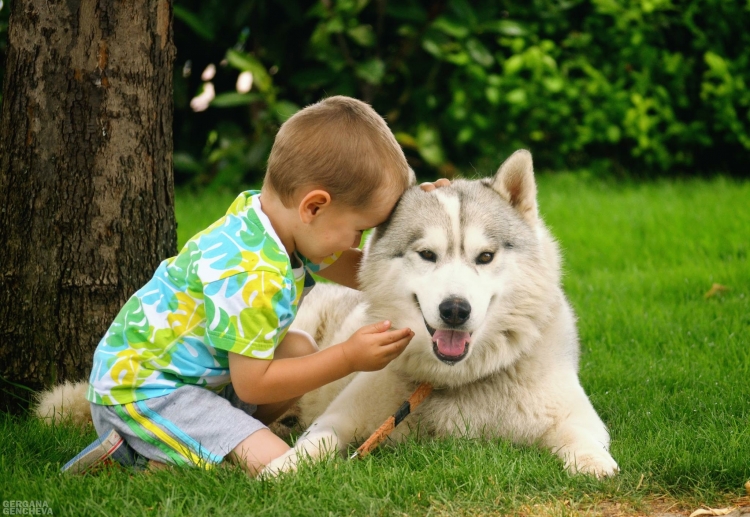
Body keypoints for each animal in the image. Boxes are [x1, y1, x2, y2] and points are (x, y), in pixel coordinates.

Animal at [268, 151, 620, 478]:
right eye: (427, 254)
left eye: (486, 256)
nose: (454, 310)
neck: (457, 380)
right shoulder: (339, 417)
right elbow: (317, 440)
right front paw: (283, 466)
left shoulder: (578, 415)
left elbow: (581, 435)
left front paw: (593, 462)